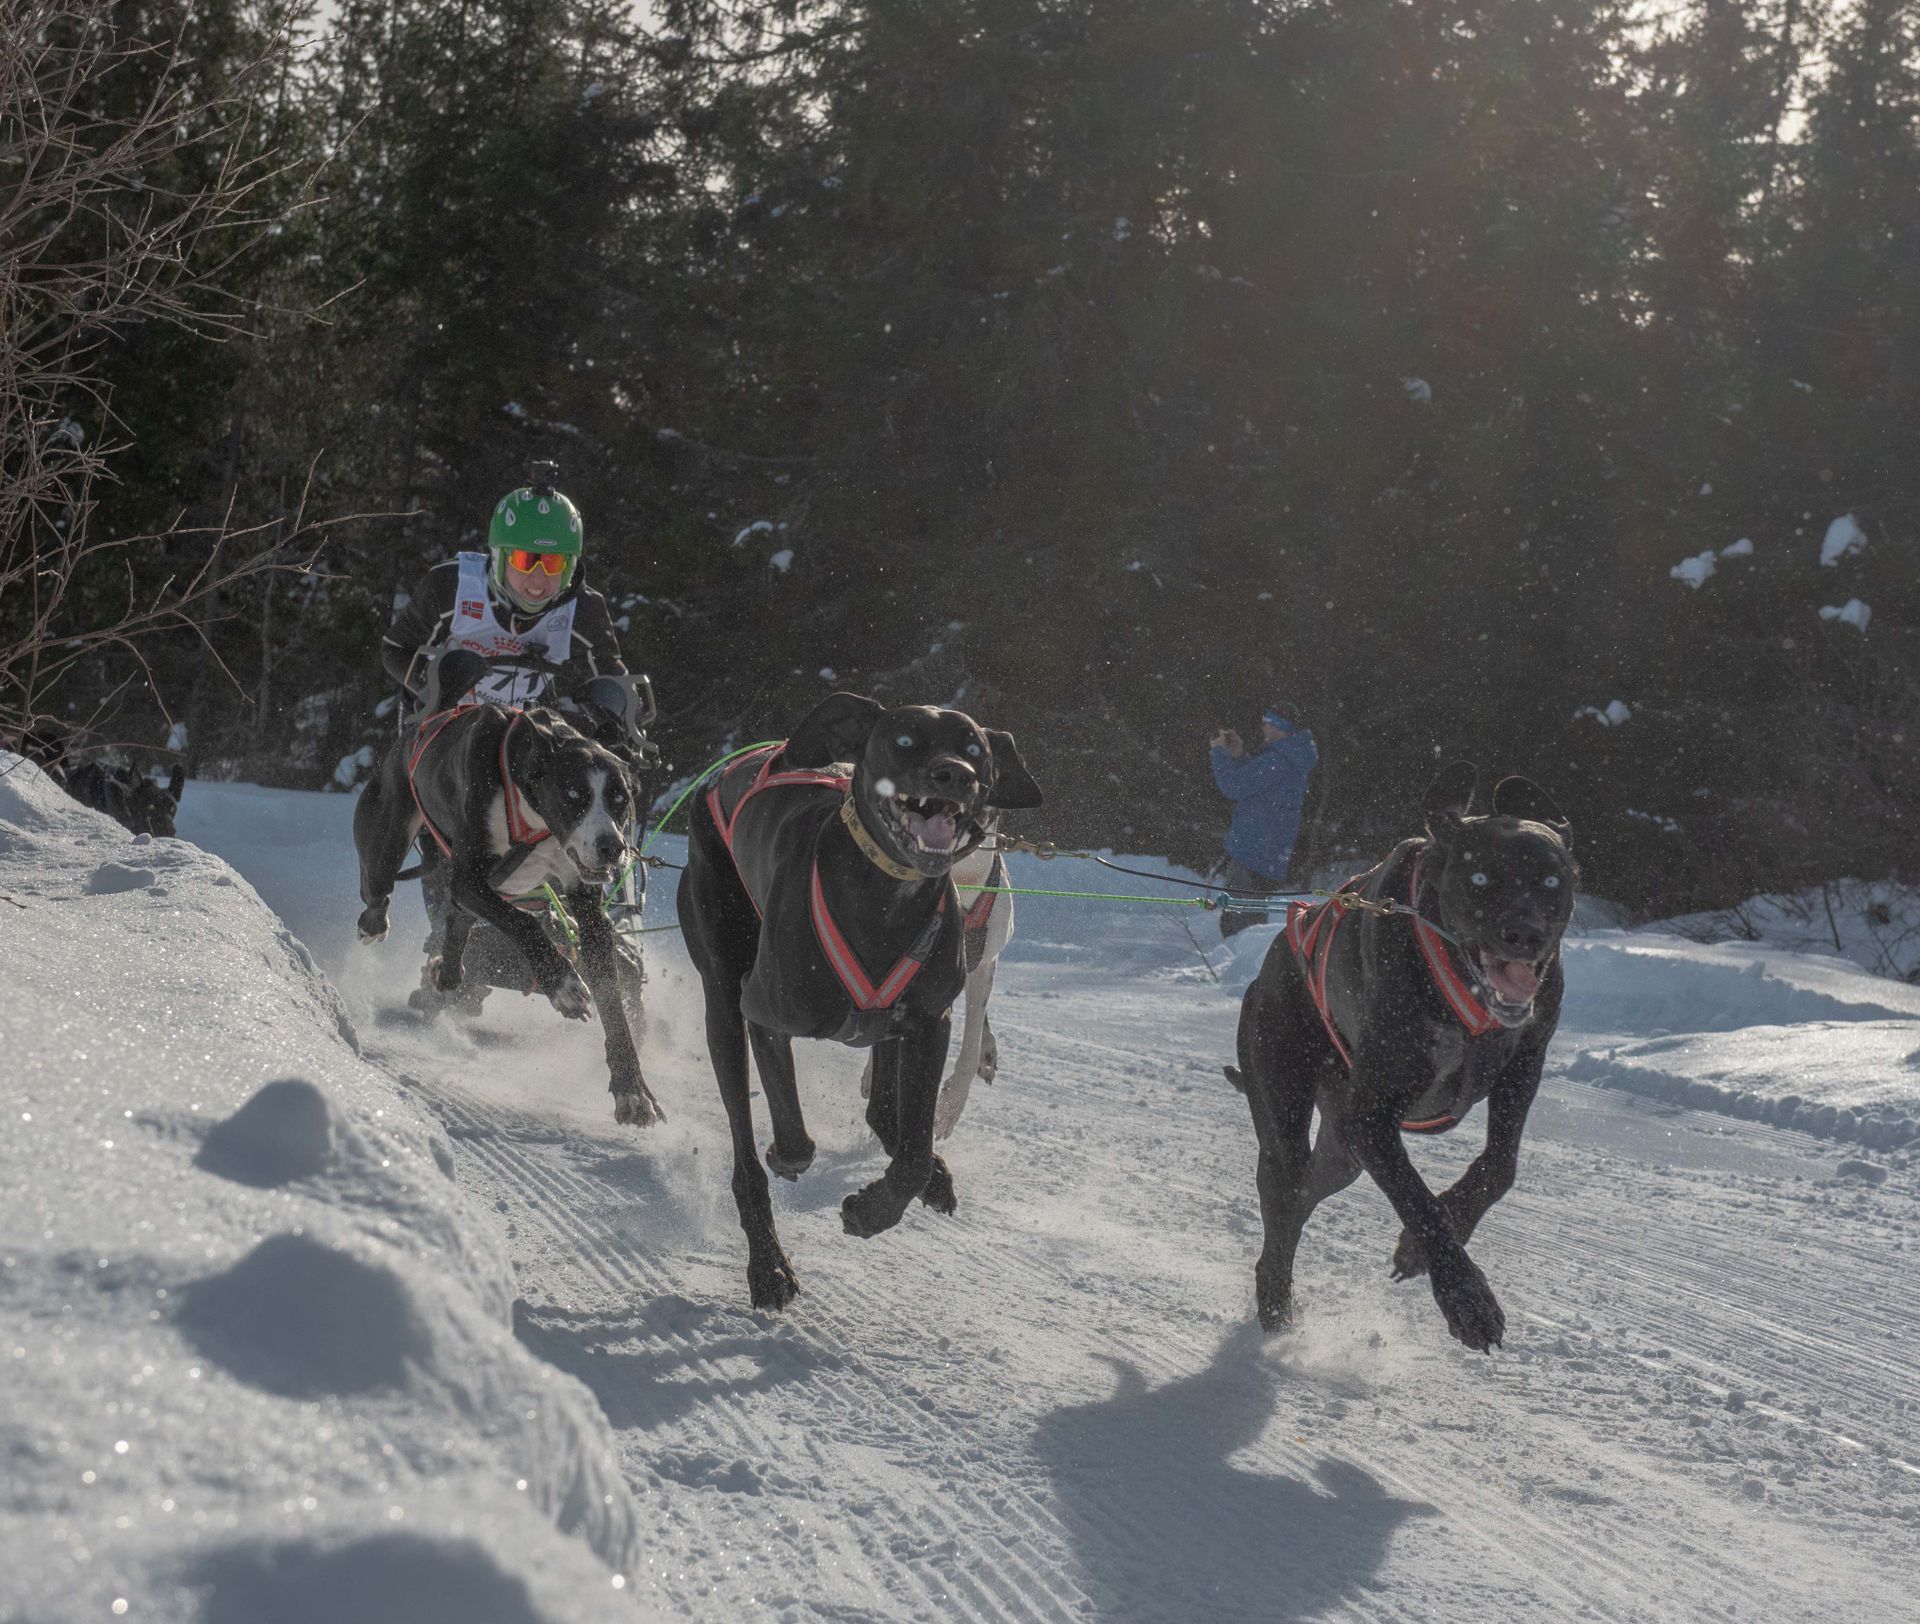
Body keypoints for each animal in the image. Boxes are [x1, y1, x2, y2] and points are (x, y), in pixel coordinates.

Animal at [355, 691, 668, 1128]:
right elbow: (522, 923)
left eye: (620, 801)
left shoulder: (584, 904)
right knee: (379, 888)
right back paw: (376, 924)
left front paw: (633, 1090)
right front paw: (564, 983)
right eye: (574, 795)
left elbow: (612, 997)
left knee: (456, 918)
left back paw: (448, 972)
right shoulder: (470, 878)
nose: (612, 847)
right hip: (389, 839)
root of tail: (410, 736)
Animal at [675, 694, 1036, 1313]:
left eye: (974, 749)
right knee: (746, 1156)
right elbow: (795, 1141)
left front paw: (873, 1210)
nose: (956, 775)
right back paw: (768, 1268)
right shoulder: (764, 1015)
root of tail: (726, 770)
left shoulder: (930, 1022)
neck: (887, 898)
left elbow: (913, 1151)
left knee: (886, 1116)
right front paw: (789, 1163)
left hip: (887, 1025)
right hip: (722, 997)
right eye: (904, 740)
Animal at [1228, 767, 1574, 1351]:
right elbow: (1420, 1201)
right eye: (1480, 877)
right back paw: (1276, 1311)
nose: (1525, 933)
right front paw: (1466, 1298)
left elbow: (1499, 1167)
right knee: (1283, 1211)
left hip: (1341, 1150)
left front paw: (1417, 1249)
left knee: (1307, 1193)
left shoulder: (1524, 1065)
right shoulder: (1372, 1120)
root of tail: (1270, 964)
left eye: (1552, 881)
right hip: (1282, 1096)